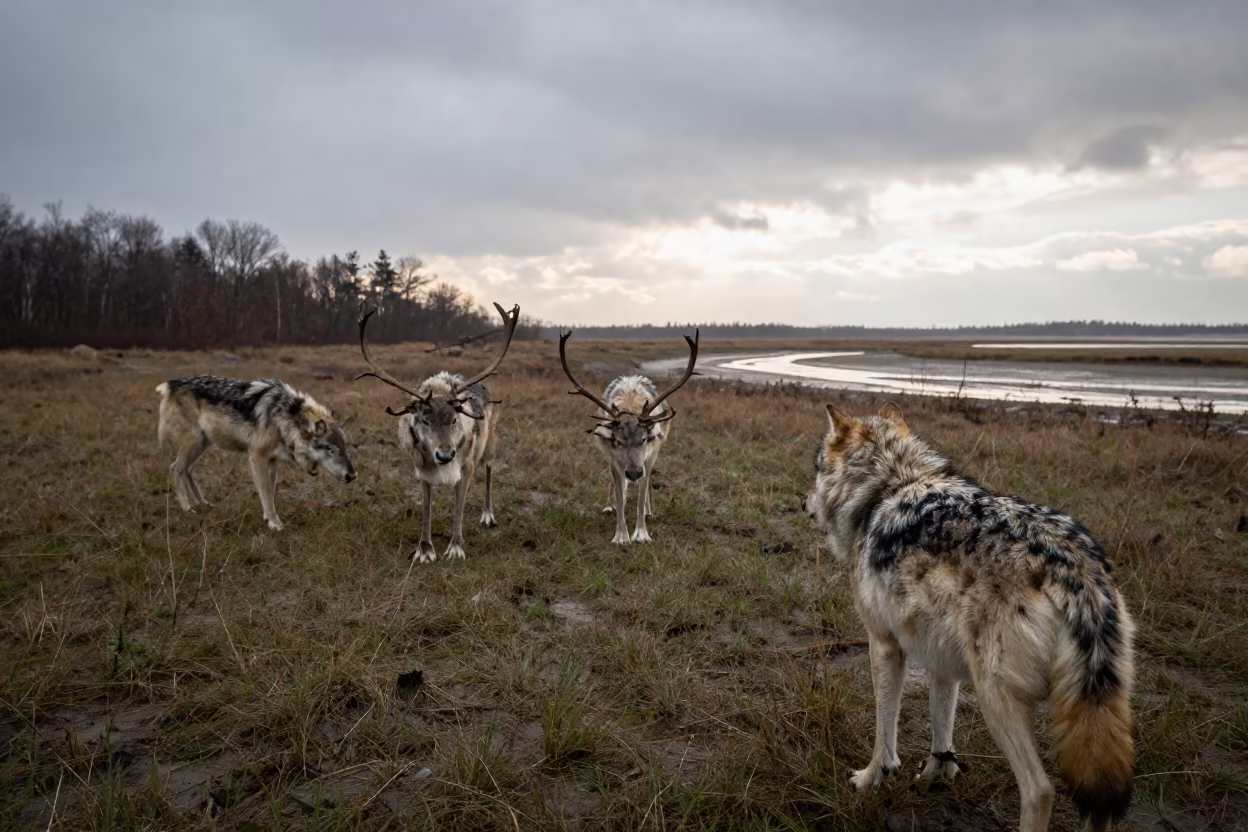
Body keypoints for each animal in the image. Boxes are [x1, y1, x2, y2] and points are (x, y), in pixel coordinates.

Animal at [156, 376, 357, 530]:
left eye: (344, 448)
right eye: (331, 450)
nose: (353, 476)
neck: (285, 417)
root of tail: (171, 383)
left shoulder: (273, 460)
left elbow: (270, 491)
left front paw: (268, 517)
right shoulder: (257, 457)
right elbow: (266, 492)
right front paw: (275, 523)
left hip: (202, 445)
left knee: (187, 470)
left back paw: (203, 503)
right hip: (194, 443)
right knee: (175, 468)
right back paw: (187, 509)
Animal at [356, 302, 519, 563]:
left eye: (453, 419)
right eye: (424, 419)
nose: (445, 455)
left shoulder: (466, 466)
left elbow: (459, 508)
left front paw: (455, 547)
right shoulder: (421, 468)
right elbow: (426, 508)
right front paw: (424, 549)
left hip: (490, 442)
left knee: (489, 469)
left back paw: (488, 515)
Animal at [558, 330, 698, 544]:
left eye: (643, 439)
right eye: (618, 441)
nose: (633, 473)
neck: (631, 407)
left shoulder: (649, 456)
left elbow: (642, 492)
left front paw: (641, 534)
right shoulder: (614, 458)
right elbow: (618, 493)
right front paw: (621, 536)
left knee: (645, 483)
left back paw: (648, 510)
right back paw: (611, 506)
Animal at [803, 403, 1134, 832]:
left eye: (816, 468)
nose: (803, 504)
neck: (889, 485)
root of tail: (1075, 569)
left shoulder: (884, 645)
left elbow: (884, 729)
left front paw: (871, 777)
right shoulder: (941, 660)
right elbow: (941, 727)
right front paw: (937, 776)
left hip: (995, 696)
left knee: (1040, 790)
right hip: (1090, 717)